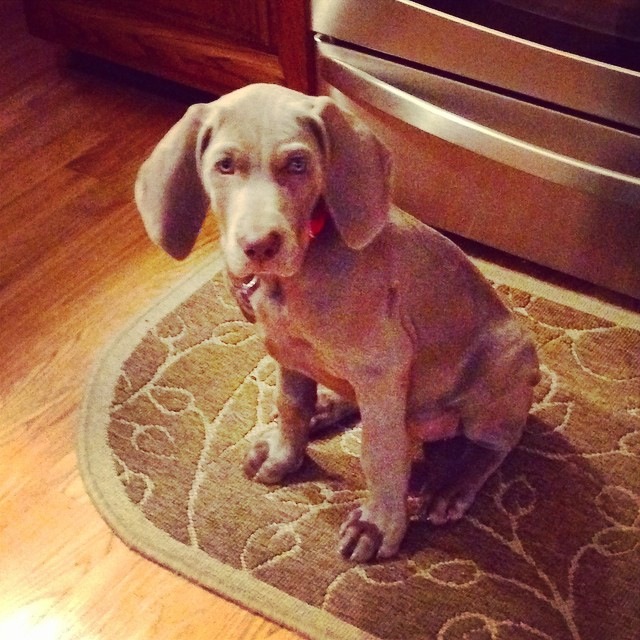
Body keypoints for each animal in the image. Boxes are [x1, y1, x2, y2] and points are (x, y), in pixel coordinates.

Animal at [135, 83, 540, 563]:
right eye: (225, 165)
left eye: (297, 164)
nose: (260, 246)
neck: (291, 281)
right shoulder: (286, 351)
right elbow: (292, 404)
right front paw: (285, 454)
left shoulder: (384, 363)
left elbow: (379, 452)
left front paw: (378, 524)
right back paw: (326, 407)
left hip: (501, 368)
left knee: (494, 443)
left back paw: (451, 486)